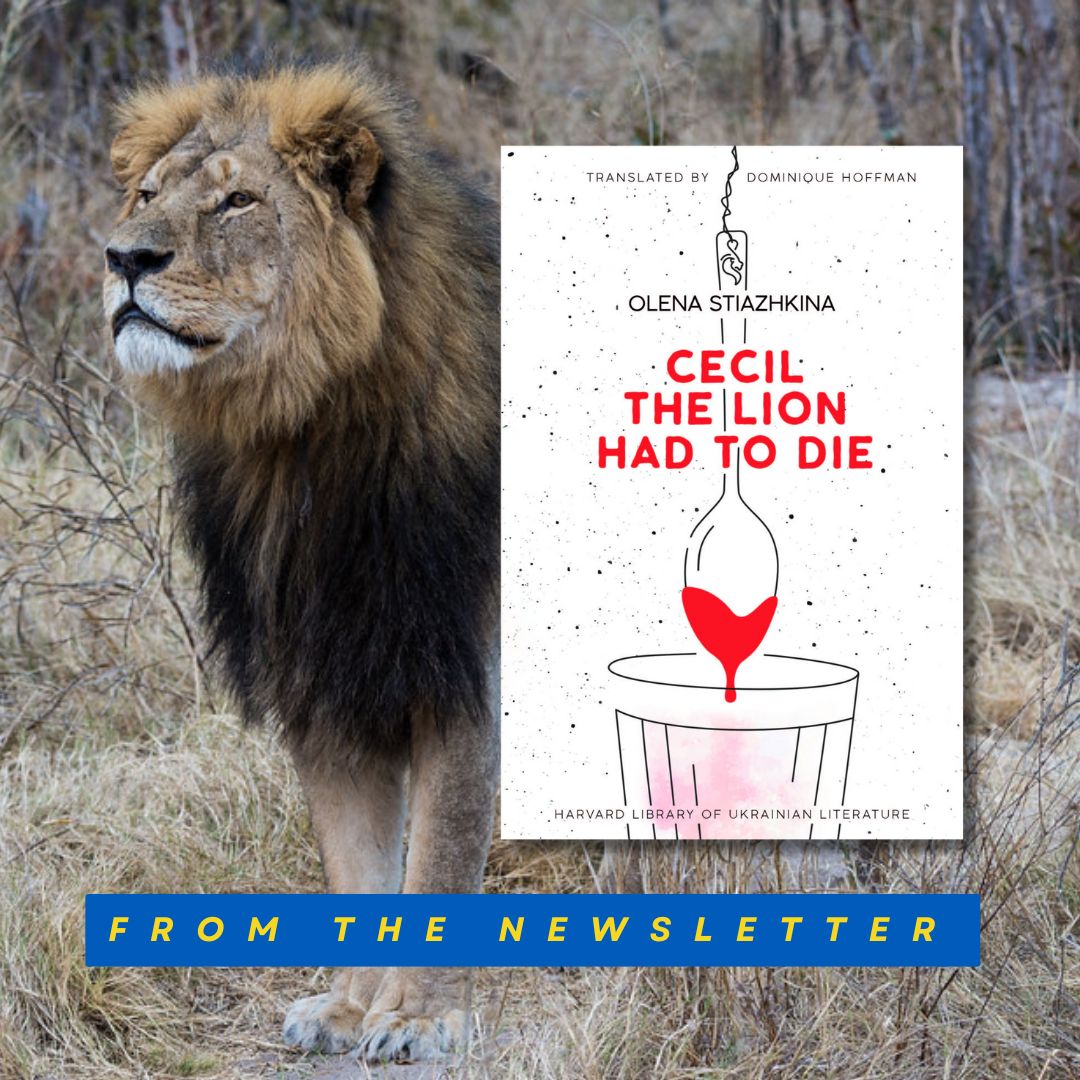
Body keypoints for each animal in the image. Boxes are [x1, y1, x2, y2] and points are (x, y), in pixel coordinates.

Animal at [102, 62, 499, 1063]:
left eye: (238, 201)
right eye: (148, 196)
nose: (122, 258)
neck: (306, 439)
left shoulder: (463, 668)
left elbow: (441, 856)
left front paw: (417, 1021)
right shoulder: (322, 675)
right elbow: (358, 866)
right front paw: (350, 1010)